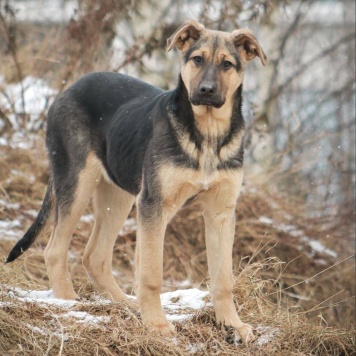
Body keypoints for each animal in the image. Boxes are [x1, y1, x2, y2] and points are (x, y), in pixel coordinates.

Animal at [5, 20, 266, 344]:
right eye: (197, 59)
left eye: (227, 64)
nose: (206, 91)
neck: (207, 134)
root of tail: (67, 89)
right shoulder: (154, 204)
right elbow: (151, 274)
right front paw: (156, 324)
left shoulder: (221, 213)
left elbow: (223, 278)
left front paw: (232, 324)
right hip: (77, 181)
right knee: (55, 250)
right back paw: (69, 302)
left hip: (118, 196)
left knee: (95, 256)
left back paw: (123, 303)